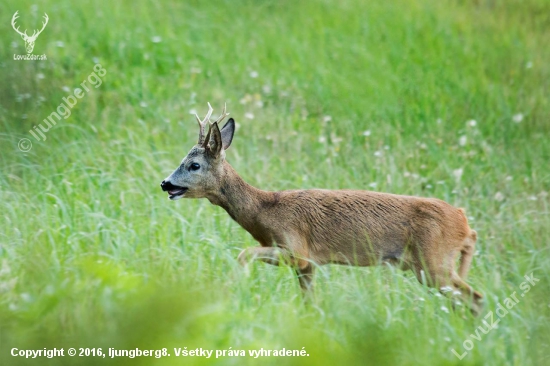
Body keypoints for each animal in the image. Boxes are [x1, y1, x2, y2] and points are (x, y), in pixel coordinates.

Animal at [162, 103, 486, 314]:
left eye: (194, 165)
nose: (165, 183)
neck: (265, 212)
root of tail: (463, 220)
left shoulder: (297, 250)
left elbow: (244, 254)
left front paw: (234, 288)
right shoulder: (309, 266)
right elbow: (310, 304)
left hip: (433, 261)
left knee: (475, 296)